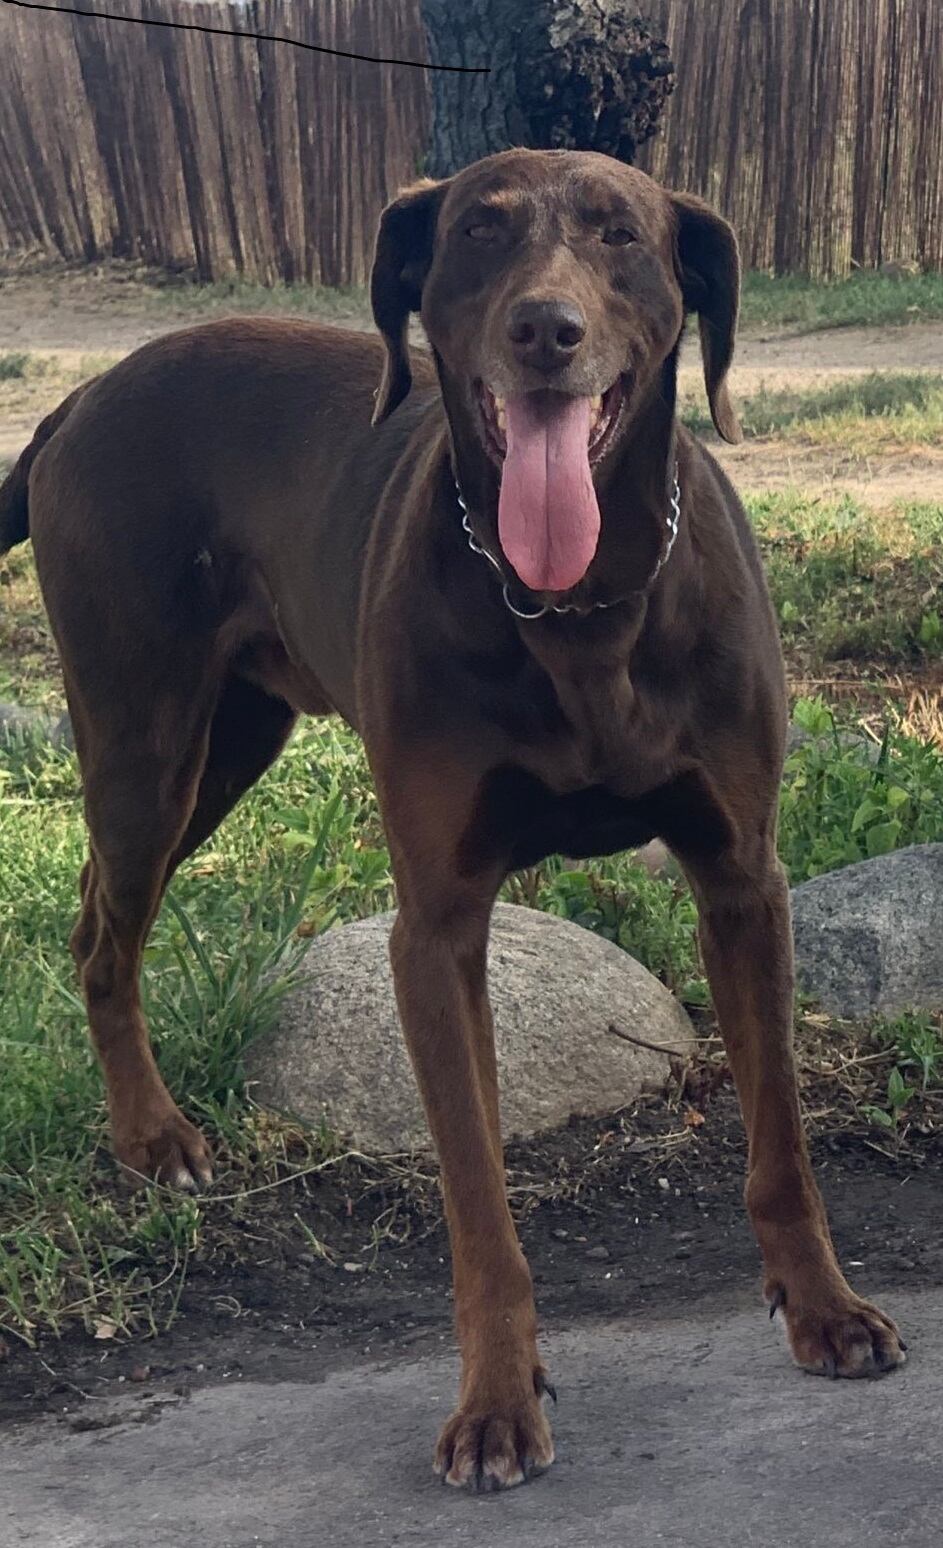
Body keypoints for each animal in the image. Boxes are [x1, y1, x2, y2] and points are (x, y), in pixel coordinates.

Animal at [1, 147, 904, 1486]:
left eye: (620, 233)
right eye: (479, 231)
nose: (545, 329)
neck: (582, 608)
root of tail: (73, 404)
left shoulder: (742, 877)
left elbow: (781, 1139)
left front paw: (826, 1308)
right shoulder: (435, 924)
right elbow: (476, 1196)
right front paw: (495, 1400)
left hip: (227, 745)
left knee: (96, 915)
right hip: (144, 740)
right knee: (103, 937)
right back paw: (154, 1138)